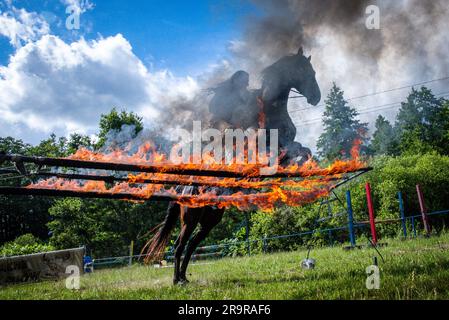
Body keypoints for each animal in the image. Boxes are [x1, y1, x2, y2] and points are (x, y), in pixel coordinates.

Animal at [142, 47, 320, 284]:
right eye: (307, 70)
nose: (316, 97)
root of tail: (184, 188)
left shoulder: (289, 146)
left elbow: (304, 150)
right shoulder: (270, 153)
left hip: (210, 219)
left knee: (191, 245)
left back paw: (184, 278)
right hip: (191, 218)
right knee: (180, 245)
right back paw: (176, 280)